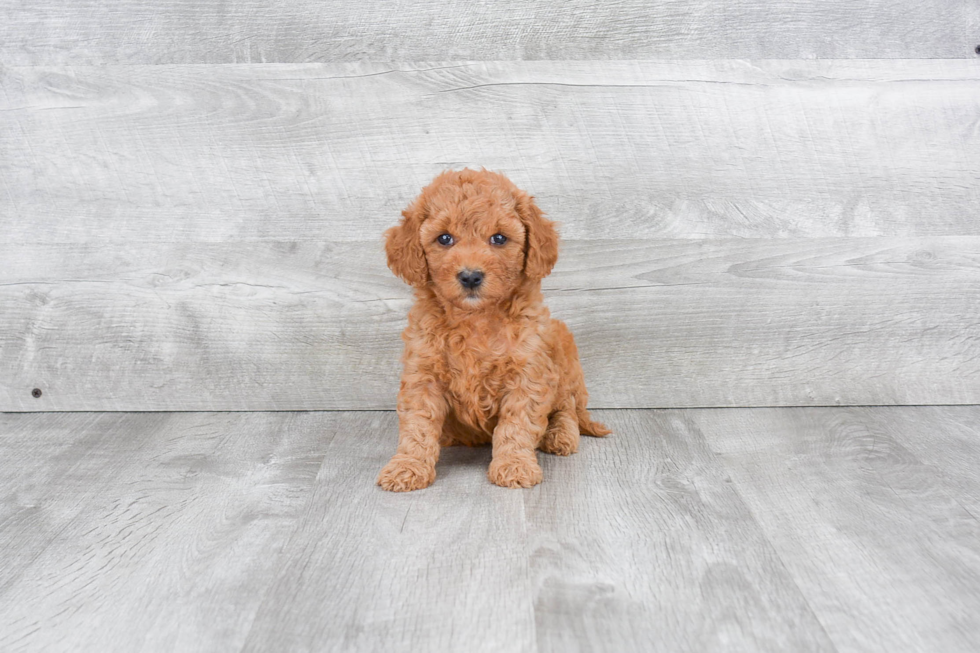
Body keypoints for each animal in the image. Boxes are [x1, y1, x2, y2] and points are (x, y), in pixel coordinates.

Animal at [378, 168, 608, 488]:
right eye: (444, 238)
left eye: (499, 238)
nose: (470, 276)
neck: (476, 318)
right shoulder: (423, 373)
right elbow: (418, 424)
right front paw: (407, 466)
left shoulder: (528, 372)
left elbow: (517, 423)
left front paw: (514, 465)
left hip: (564, 351)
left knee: (568, 408)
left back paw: (559, 436)